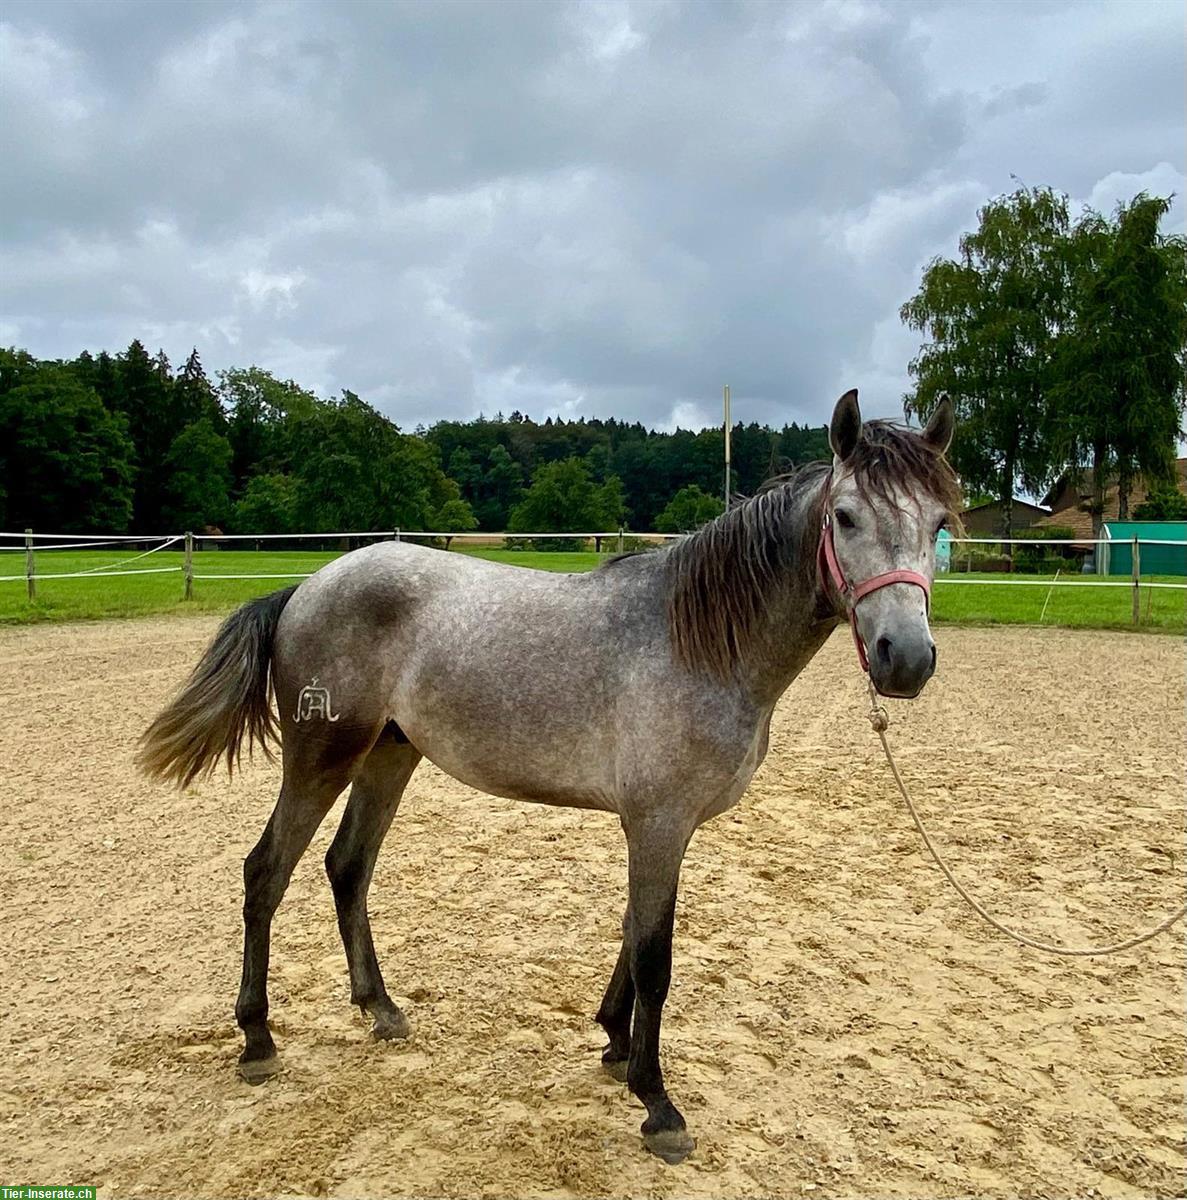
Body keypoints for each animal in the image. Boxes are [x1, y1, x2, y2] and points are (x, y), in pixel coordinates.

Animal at [136, 391, 955, 1161]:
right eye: (845, 517)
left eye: (940, 522)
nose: (905, 659)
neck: (697, 640)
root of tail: (306, 588)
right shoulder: (657, 822)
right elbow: (655, 955)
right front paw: (656, 1103)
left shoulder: (662, 827)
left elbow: (632, 932)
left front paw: (615, 1044)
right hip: (321, 757)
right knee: (266, 873)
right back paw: (257, 1040)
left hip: (390, 755)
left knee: (348, 867)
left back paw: (380, 1009)